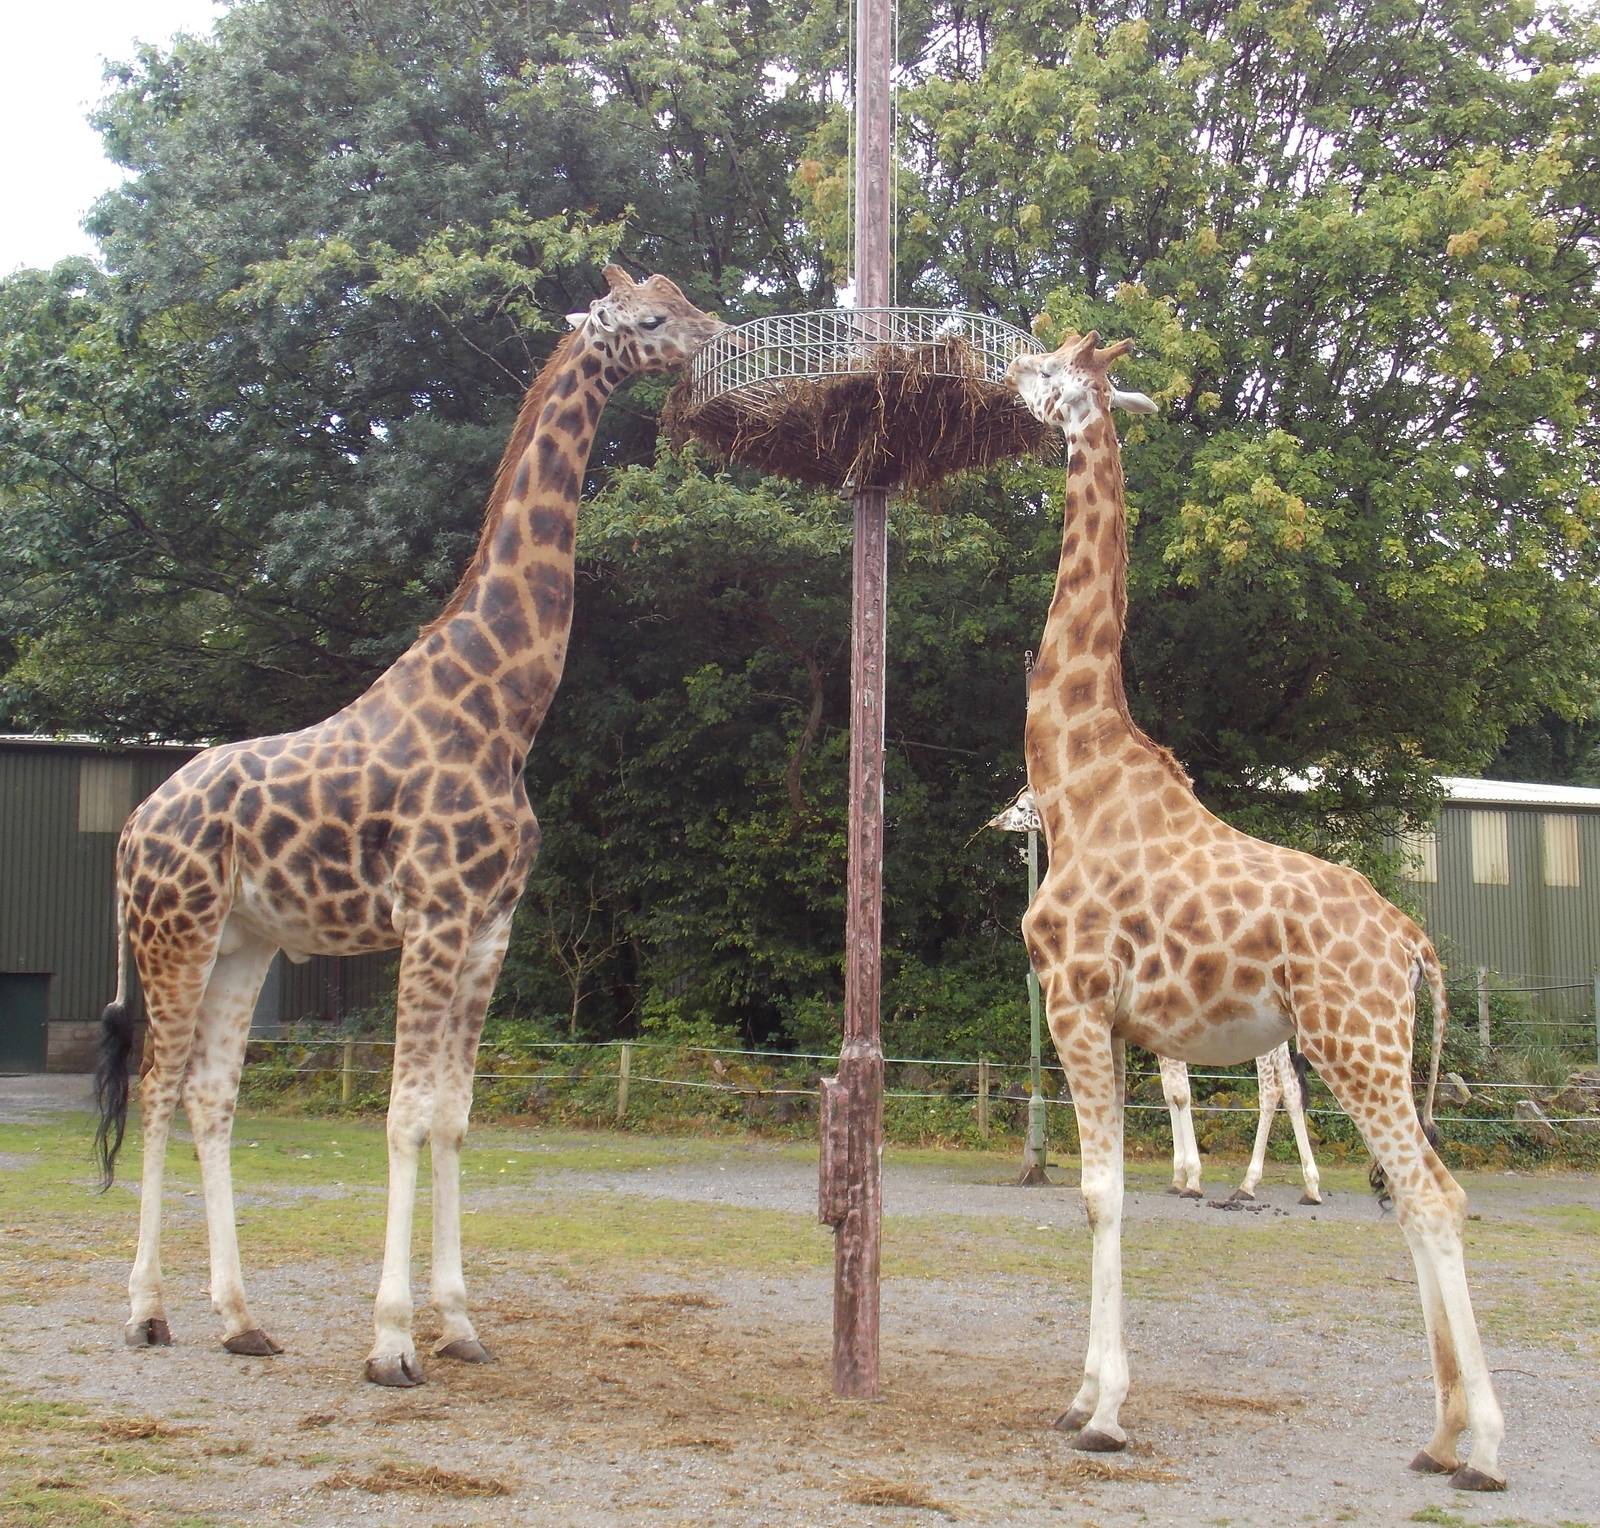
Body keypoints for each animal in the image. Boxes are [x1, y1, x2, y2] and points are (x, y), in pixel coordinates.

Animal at [92, 266, 726, 1388]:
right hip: (175, 934)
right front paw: (390, 1343)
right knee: (160, 1088)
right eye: (652, 319)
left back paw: (240, 1318)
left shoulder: (488, 931)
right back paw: (147, 1311)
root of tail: (131, 828)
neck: (506, 712)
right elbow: (399, 1115)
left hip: (246, 941)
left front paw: (460, 1325)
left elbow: (452, 1120)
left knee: (212, 1094)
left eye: (684, 299)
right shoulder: (430, 918)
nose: (720, 336)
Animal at [1158, 1042, 1322, 1203]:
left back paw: (1247, 1186)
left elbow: (1181, 1095)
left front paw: (1192, 1181)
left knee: (1270, 1091)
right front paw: (1178, 1179)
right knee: (1291, 1089)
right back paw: (1311, 1189)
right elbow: (1170, 1095)